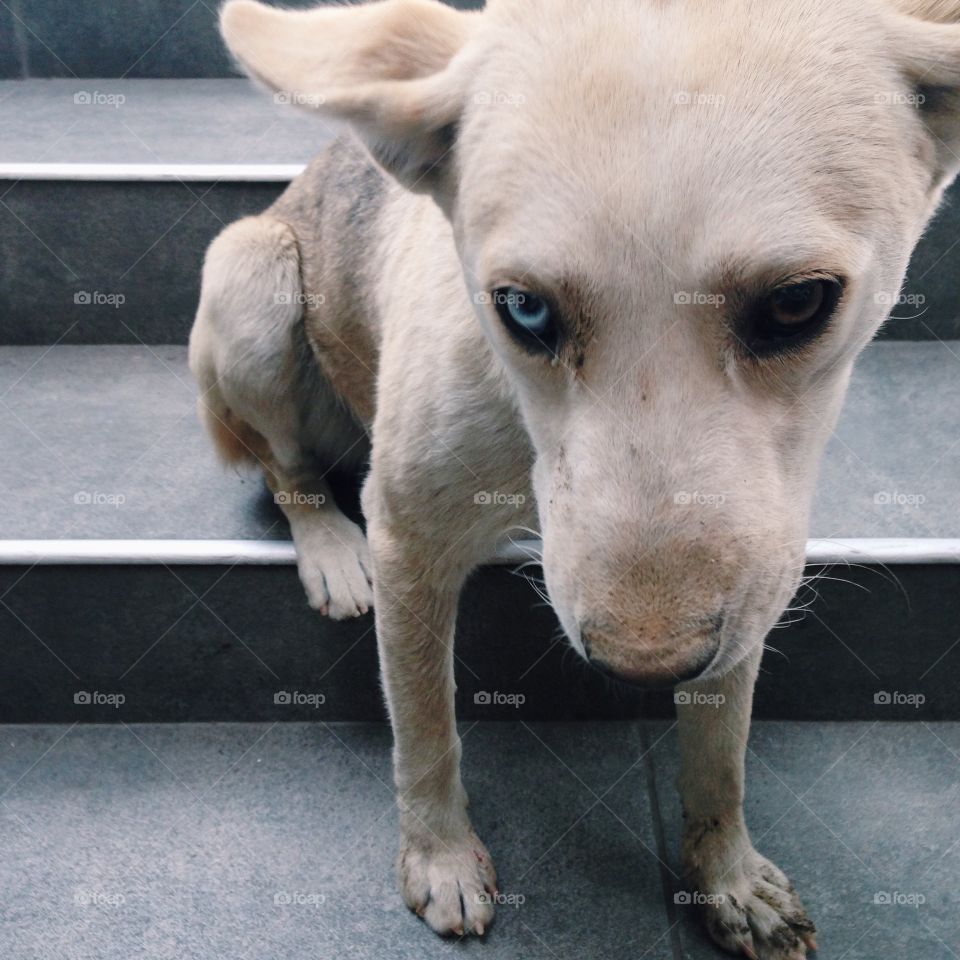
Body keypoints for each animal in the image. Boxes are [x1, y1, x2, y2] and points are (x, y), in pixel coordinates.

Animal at [188, 1, 960, 952]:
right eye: (522, 308)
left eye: (795, 303)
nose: (647, 671)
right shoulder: (410, 540)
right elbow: (425, 730)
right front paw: (440, 858)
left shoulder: (755, 573)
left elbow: (721, 757)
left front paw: (727, 877)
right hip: (248, 271)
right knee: (286, 464)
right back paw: (330, 547)